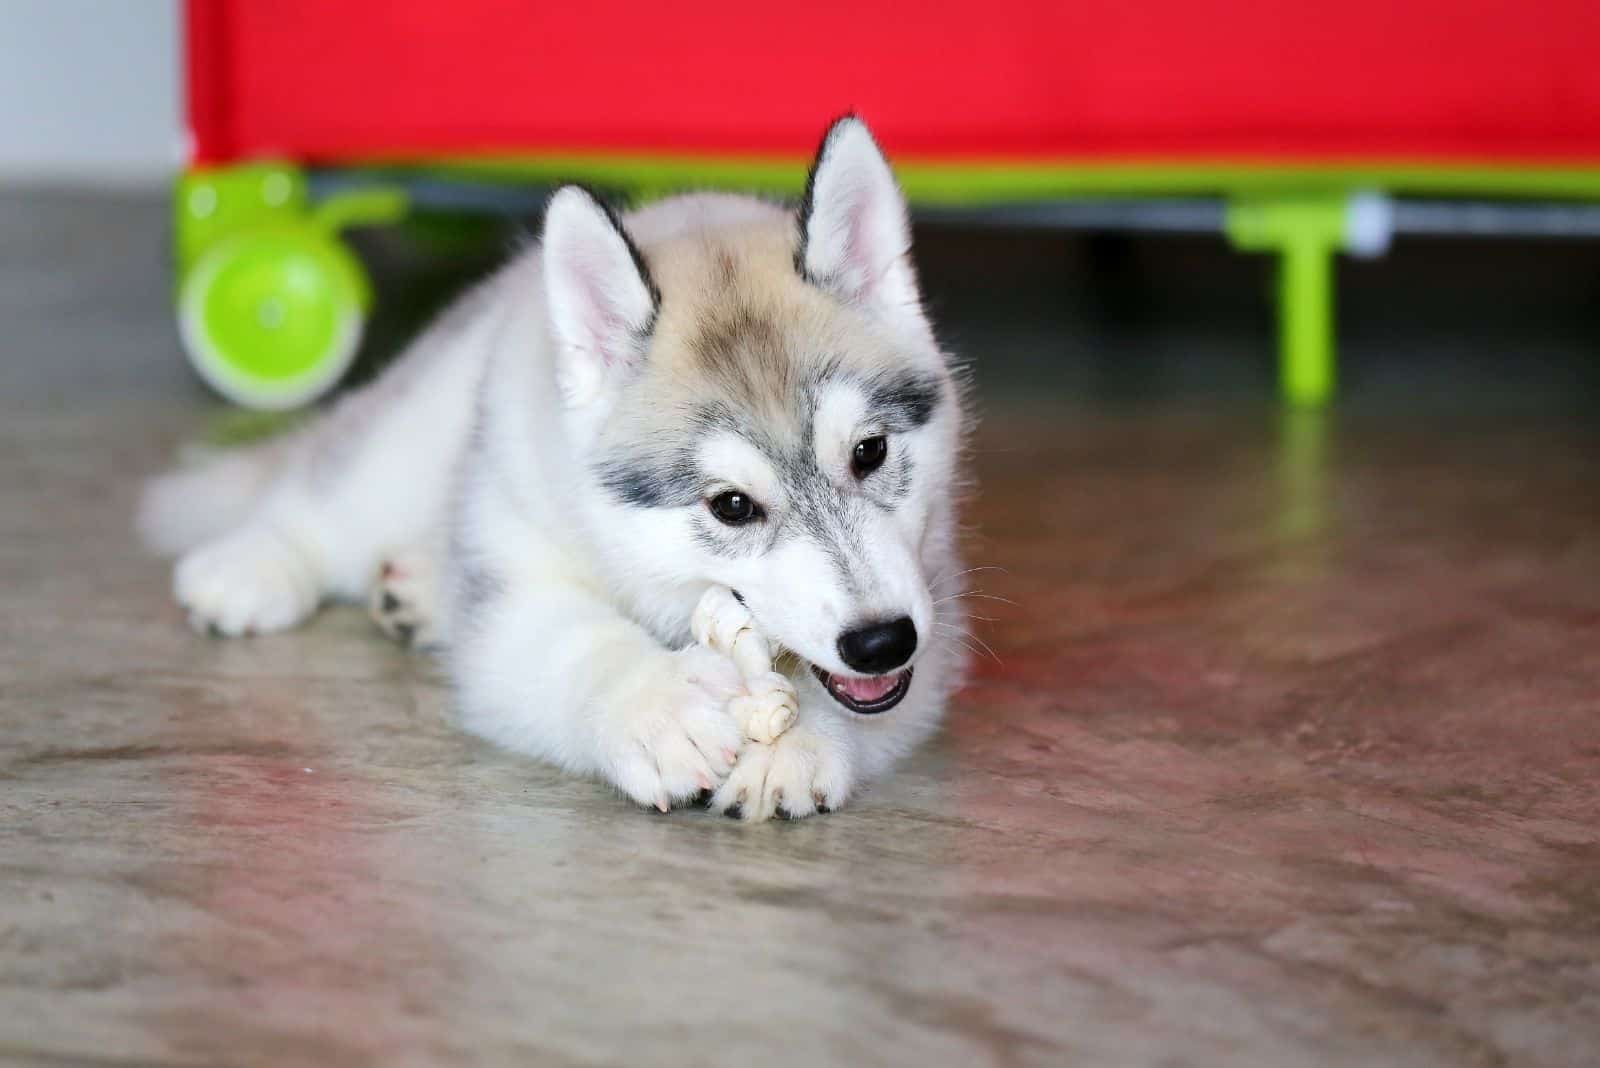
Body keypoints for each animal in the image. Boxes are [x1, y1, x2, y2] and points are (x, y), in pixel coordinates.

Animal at [147, 119, 972, 818]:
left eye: (869, 452)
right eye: (731, 506)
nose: (881, 642)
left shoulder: (932, 601)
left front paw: (798, 743)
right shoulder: (512, 605)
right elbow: (568, 641)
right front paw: (654, 706)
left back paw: (421, 588)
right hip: (421, 432)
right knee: (331, 494)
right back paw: (255, 564)